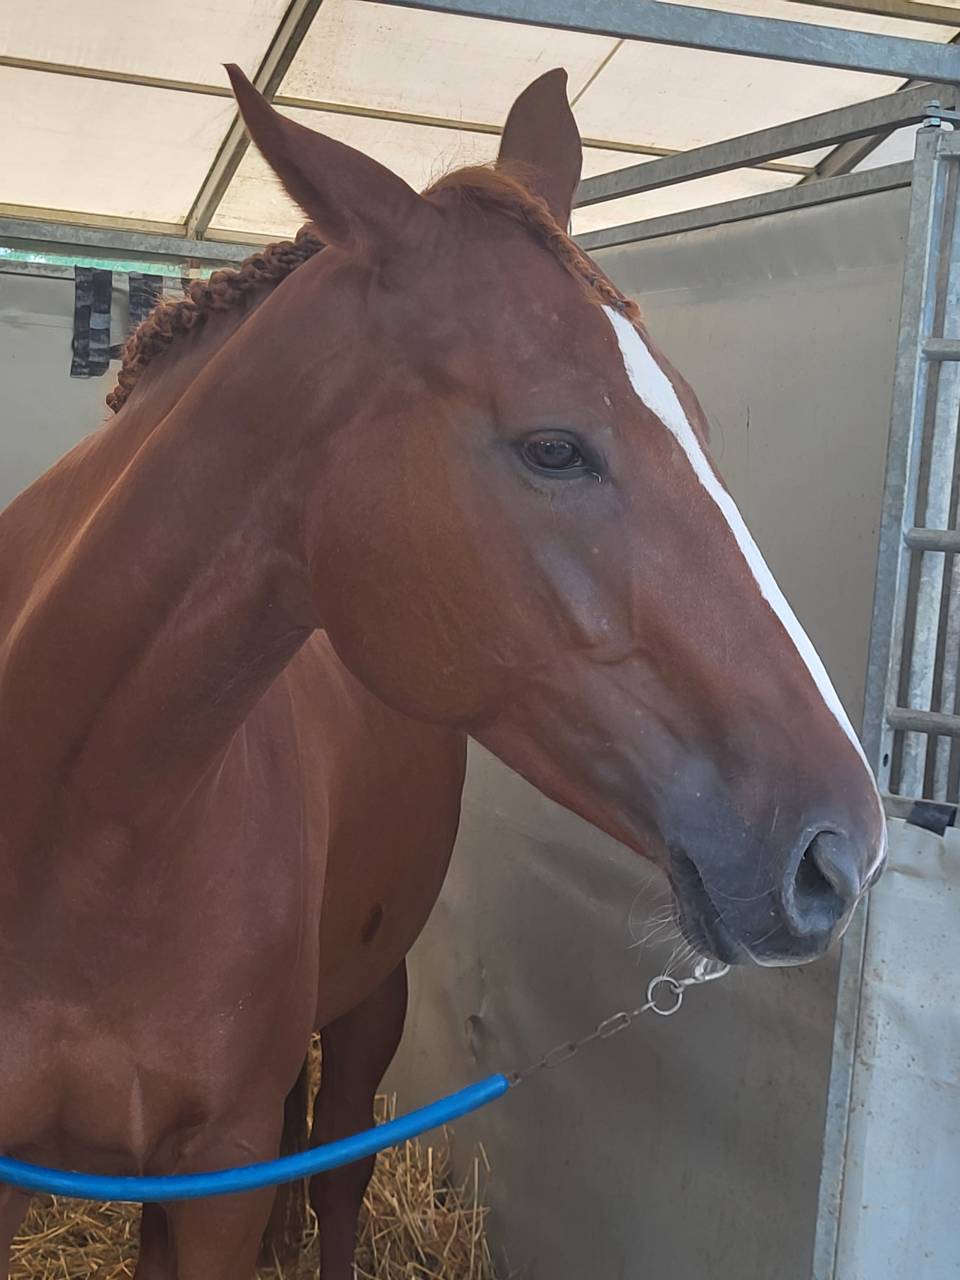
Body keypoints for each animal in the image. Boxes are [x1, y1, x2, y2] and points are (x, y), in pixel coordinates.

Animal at [0, 64, 886, 1279]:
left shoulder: (223, 1167)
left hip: (374, 997)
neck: (79, 827)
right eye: (554, 446)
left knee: (337, 1165)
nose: (842, 851)